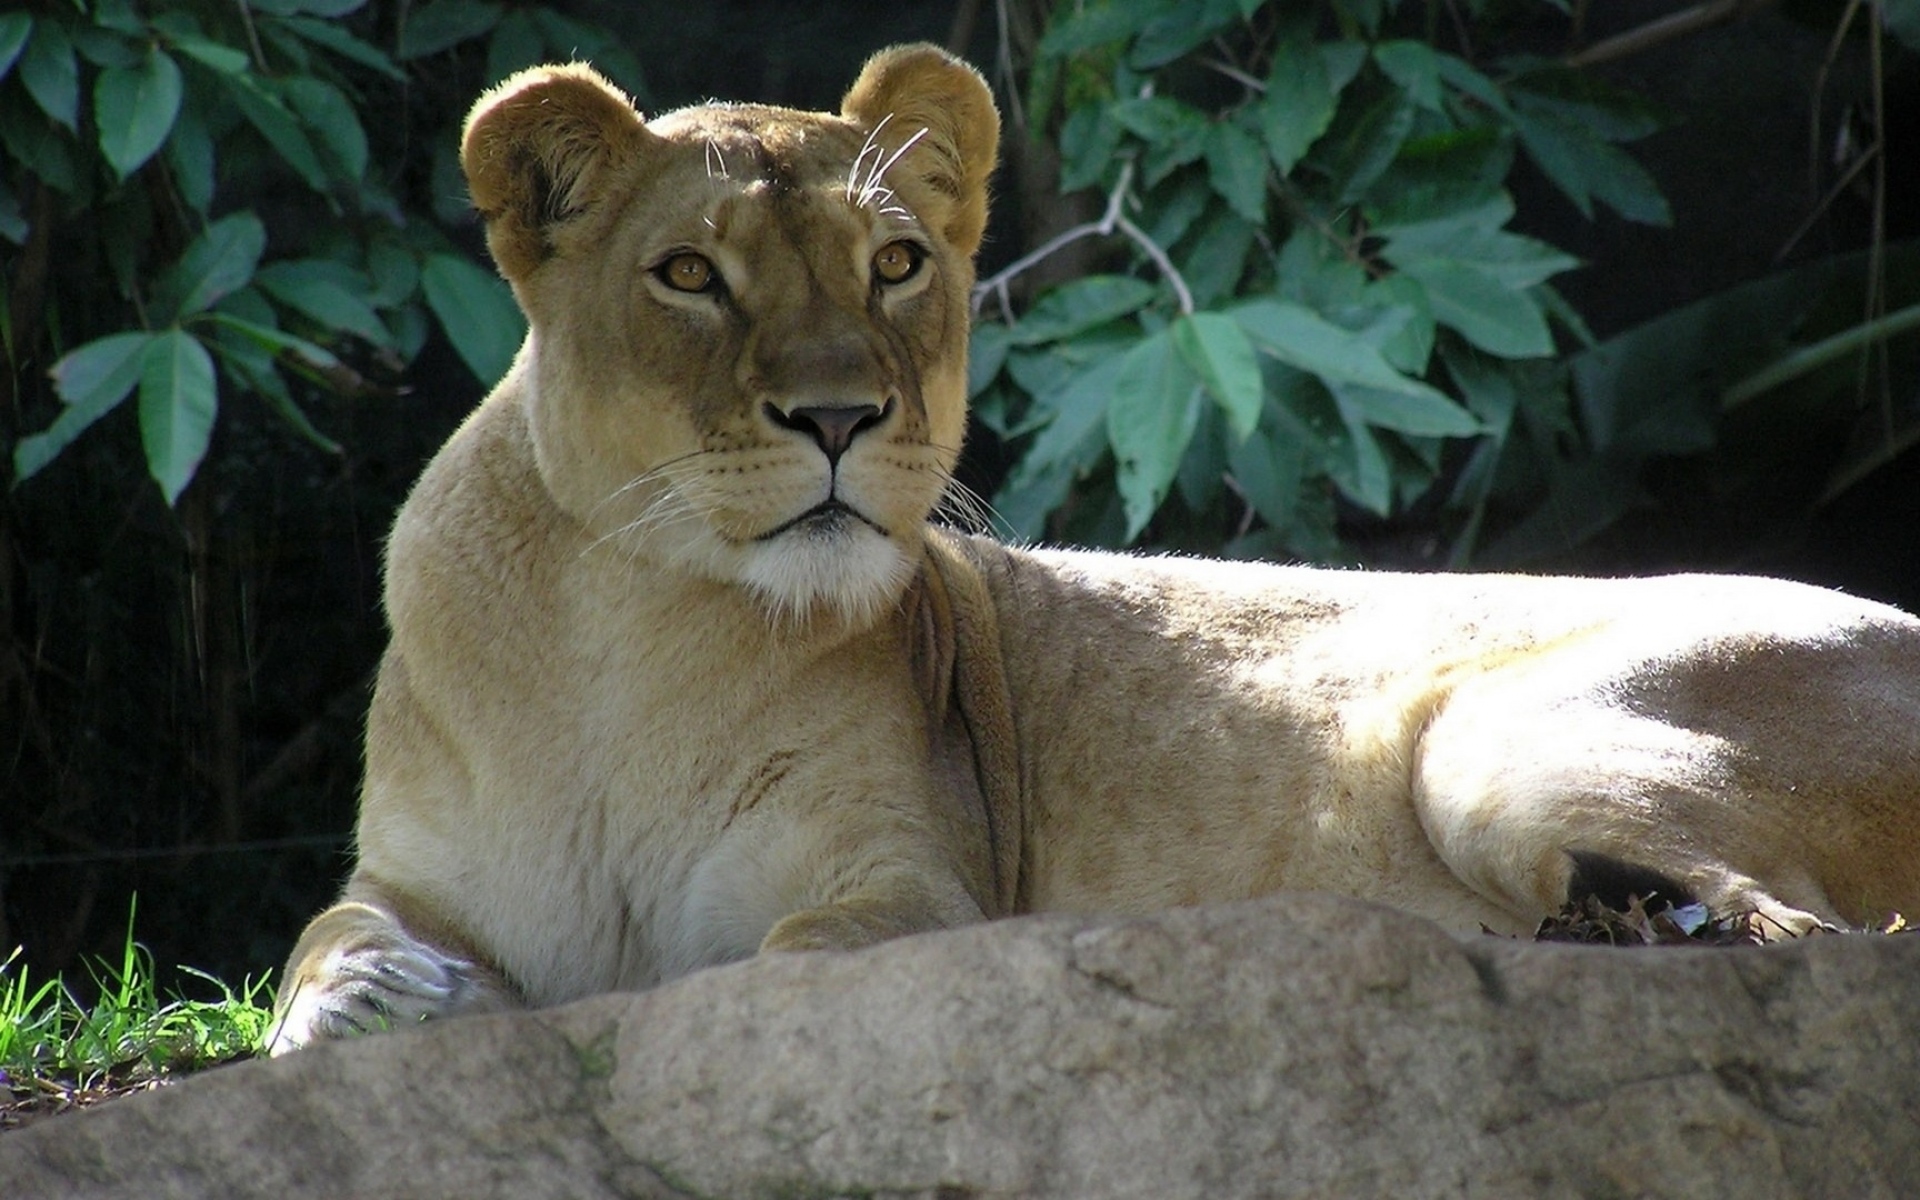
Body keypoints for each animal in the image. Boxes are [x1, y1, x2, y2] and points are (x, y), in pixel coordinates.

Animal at [270, 43, 1920, 1051]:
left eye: (895, 262)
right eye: (688, 275)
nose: (839, 416)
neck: (628, 630)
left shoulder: (916, 886)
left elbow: (781, 964)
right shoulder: (416, 871)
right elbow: (325, 932)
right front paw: (362, 1007)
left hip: (1498, 748)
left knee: (1820, 931)